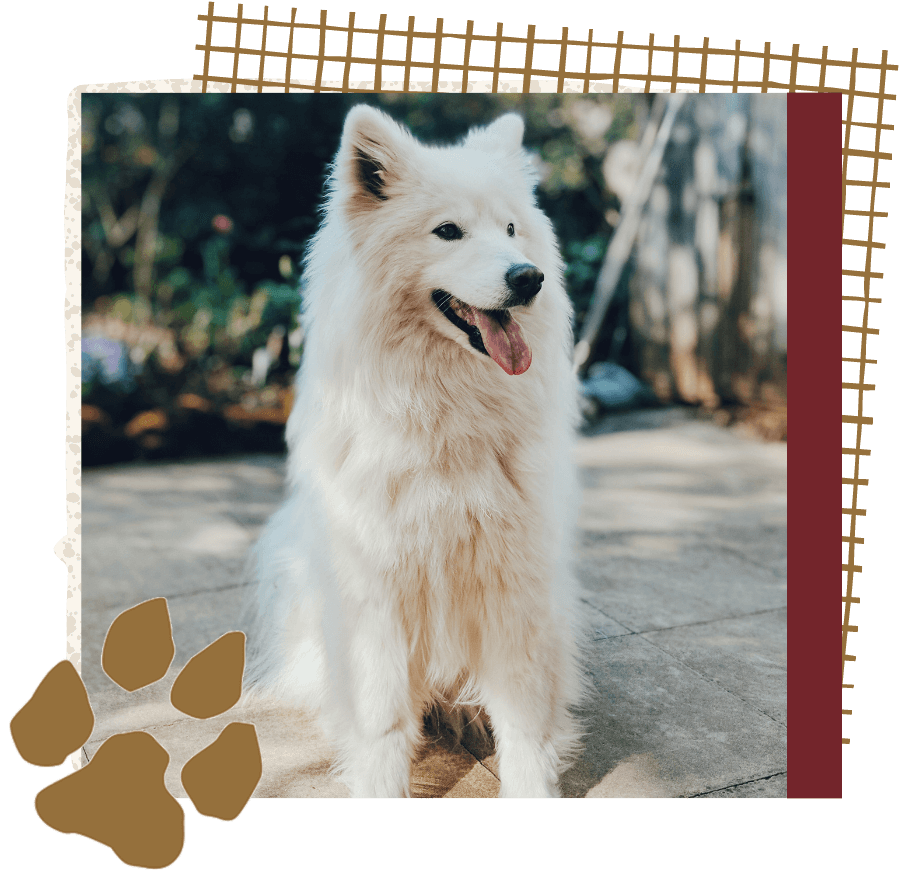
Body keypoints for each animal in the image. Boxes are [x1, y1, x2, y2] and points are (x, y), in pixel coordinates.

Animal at [244, 105, 584, 800]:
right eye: (447, 231)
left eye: (512, 229)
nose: (528, 277)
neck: (445, 413)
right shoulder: (377, 588)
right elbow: (381, 719)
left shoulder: (516, 579)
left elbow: (524, 717)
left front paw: (531, 783)